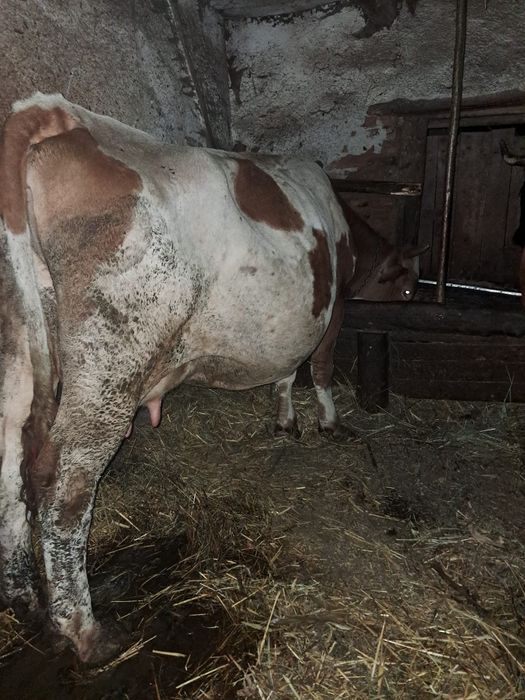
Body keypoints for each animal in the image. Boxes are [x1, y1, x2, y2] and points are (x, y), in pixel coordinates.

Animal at [0, 93, 421, 663]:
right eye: (409, 285)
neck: (343, 228)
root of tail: (58, 114)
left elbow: (286, 371)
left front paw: (285, 420)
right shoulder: (331, 311)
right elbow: (320, 366)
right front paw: (329, 423)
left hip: (21, 349)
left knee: (12, 461)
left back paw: (23, 596)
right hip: (111, 360)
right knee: (65, 483)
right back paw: (83, 630)